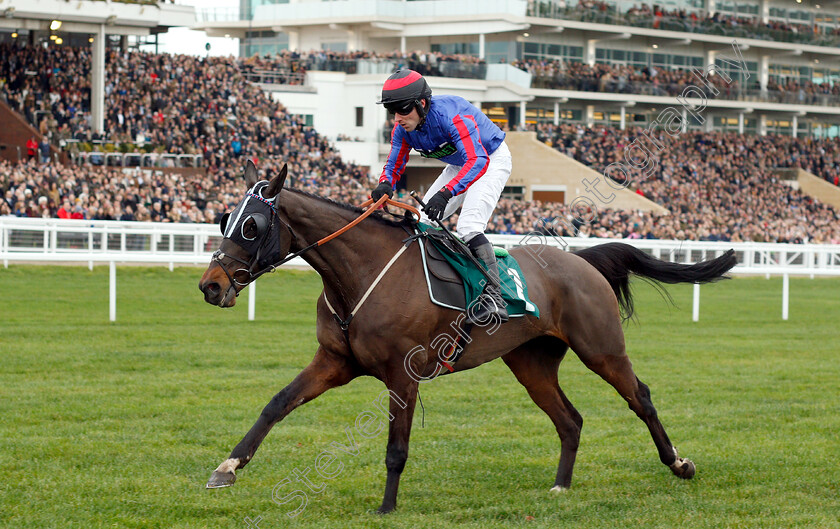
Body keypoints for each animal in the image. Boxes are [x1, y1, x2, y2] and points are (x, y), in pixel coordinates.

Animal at [197, 161, 736, 512]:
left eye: (251, 225)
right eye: (225, 218)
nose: (211, 286)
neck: (361, 274)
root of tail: (582, 260)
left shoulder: (402, 375)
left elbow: (395, 446)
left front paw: (386, 508)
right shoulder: (334, 361)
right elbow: (277, 404)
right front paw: (227, 467)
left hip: (601, 348)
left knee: (640, 397)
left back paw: (679, 464)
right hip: (531, 363)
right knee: (570, 419)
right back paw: (560, 486)